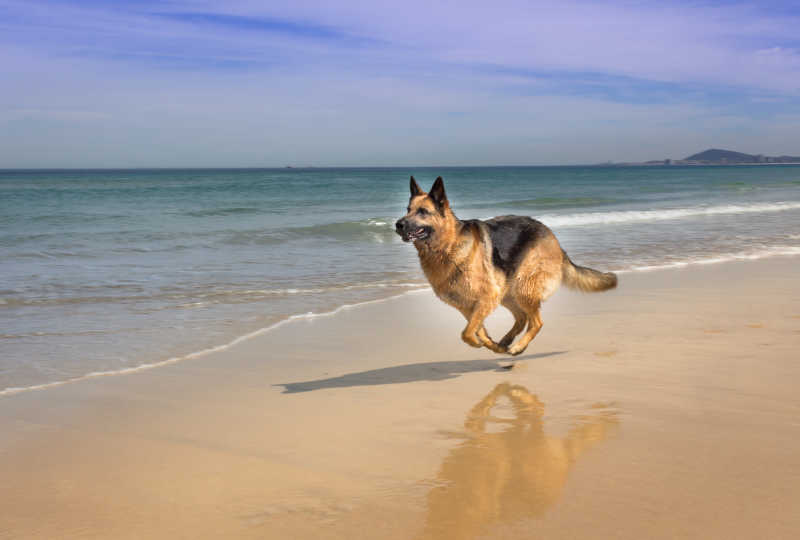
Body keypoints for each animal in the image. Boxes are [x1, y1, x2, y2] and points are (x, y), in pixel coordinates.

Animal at [396, 175, 620, 356]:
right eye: (408, 210)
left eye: (423, 212)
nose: (398, 224)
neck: (447, 247)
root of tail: (554, 239)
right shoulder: (469, 307)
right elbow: (476, 330)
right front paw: (492, 345)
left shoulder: (486, 298)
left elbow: (467, 333)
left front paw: (480, 344)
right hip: (508, 293)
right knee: (521, 319)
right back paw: (506, 342)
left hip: (522, 288)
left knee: (536, 322)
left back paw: (518, 347)